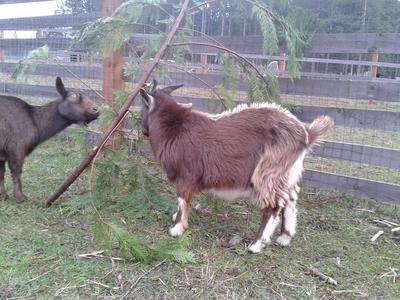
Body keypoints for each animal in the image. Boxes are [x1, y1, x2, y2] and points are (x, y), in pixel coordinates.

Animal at [139, 82, 332, 253]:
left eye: (142, 108)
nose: (143, 130)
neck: (174, 127)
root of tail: (306, 136)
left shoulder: (186, 176)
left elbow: (182, 199)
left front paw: (176, 228)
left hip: (268, 173)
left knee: (273, 206)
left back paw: (256, 245)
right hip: (288, 174)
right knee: (290, 200)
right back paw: (285, 237)